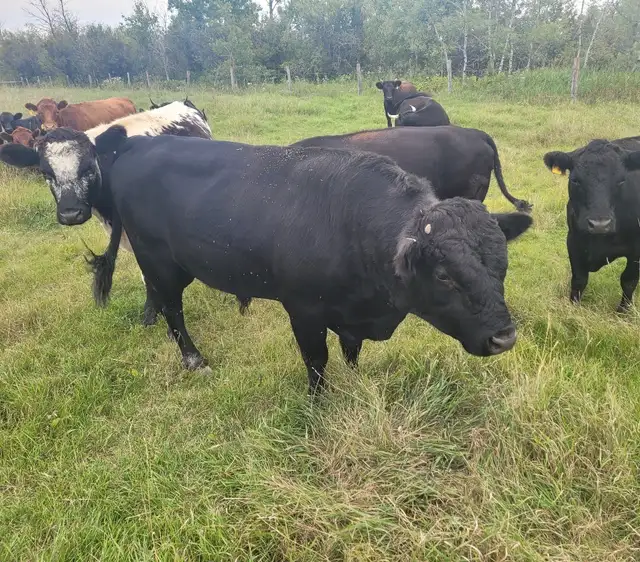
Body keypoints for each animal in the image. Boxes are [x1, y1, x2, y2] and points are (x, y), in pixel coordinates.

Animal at [544, 138, 640, 312]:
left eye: (621, 181)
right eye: (575, 180)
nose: (599, 224)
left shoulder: (637, 249)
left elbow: (628, 280)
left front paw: (623, 311)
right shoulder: (574, 240)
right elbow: (579, 279)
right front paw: (573, 309)